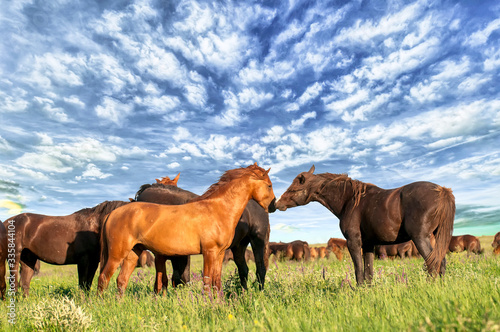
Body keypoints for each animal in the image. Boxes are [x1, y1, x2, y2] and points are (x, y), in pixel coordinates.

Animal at [97, 164, 276, 296]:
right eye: (269, 185)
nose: (273, 206)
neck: (216, 209)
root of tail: (113, 213)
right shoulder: (209, 253)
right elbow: (206, 281)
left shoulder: (218, 254)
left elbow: (216, 282)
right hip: (117, 254)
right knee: (104, 278)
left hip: (133, 253)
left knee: (121, 280)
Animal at [276, 166, 456, 286]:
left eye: (293, 188)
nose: (277, 204)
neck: (349, 200)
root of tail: (442, 190)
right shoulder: (369, 244)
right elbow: (368, 271)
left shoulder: (353, 242)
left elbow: (358, 269)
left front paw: (358, 290)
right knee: (441, 261)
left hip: (420, 238)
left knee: (433, 263)